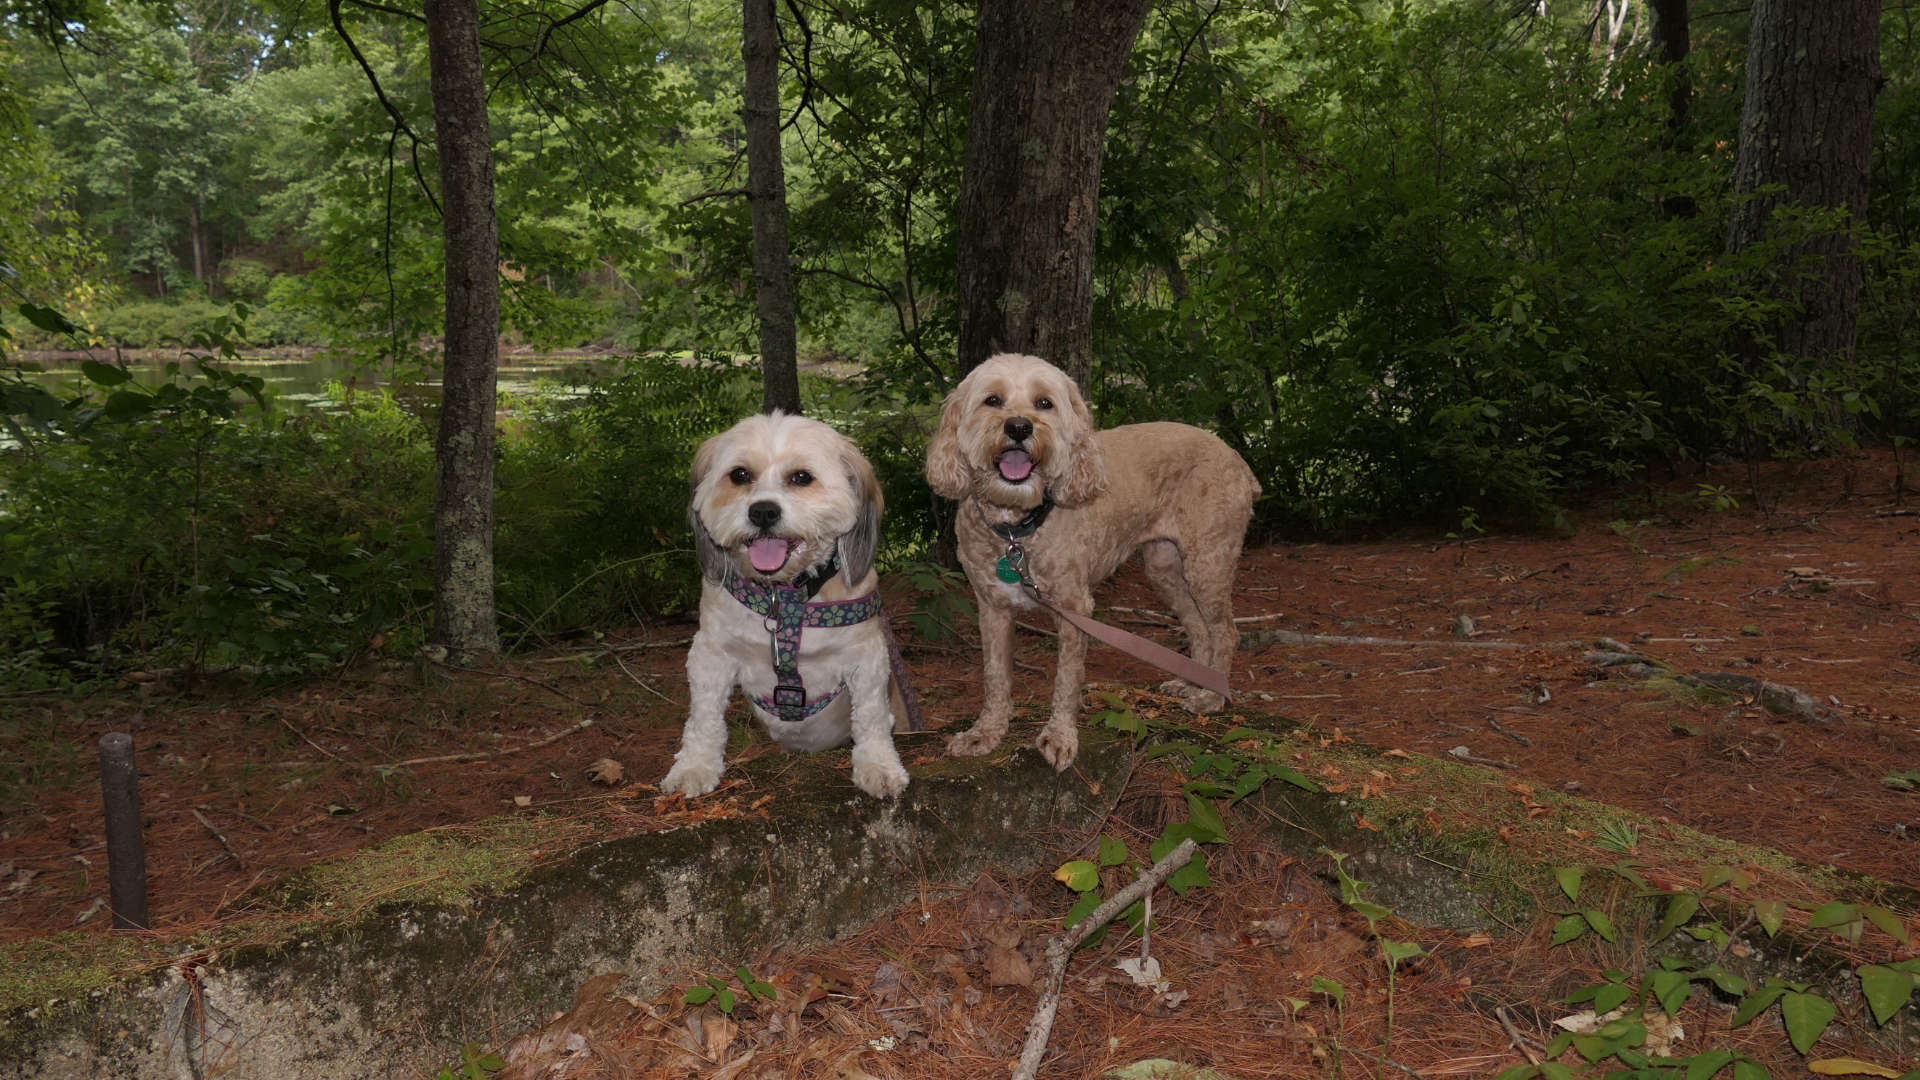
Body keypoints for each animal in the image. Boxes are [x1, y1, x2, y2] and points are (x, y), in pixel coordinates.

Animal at [660, 411, 906, 799]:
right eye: (740, 475)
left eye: (801, 477)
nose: (762, 512)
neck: (787, 597)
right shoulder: (710, 656)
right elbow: (703, 717)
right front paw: (693, 767)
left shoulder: (867, 658)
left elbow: (871, 717)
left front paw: (878, 766)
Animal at [925, 357, 1259, 768]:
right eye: (992, 400)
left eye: (1044, 403)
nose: (1018, 427)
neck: (1018, 529)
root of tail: (1236, 457)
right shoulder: (992, 609)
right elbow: (996, 677)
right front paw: (986, 732)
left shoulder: (1074, 608)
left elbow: (1067, 679)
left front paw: (1059, 737)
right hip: (1165, 569)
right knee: (1198, 627)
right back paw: (1192, 683)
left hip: (1207, 563)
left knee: (1225, 632)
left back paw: (1212, 697)